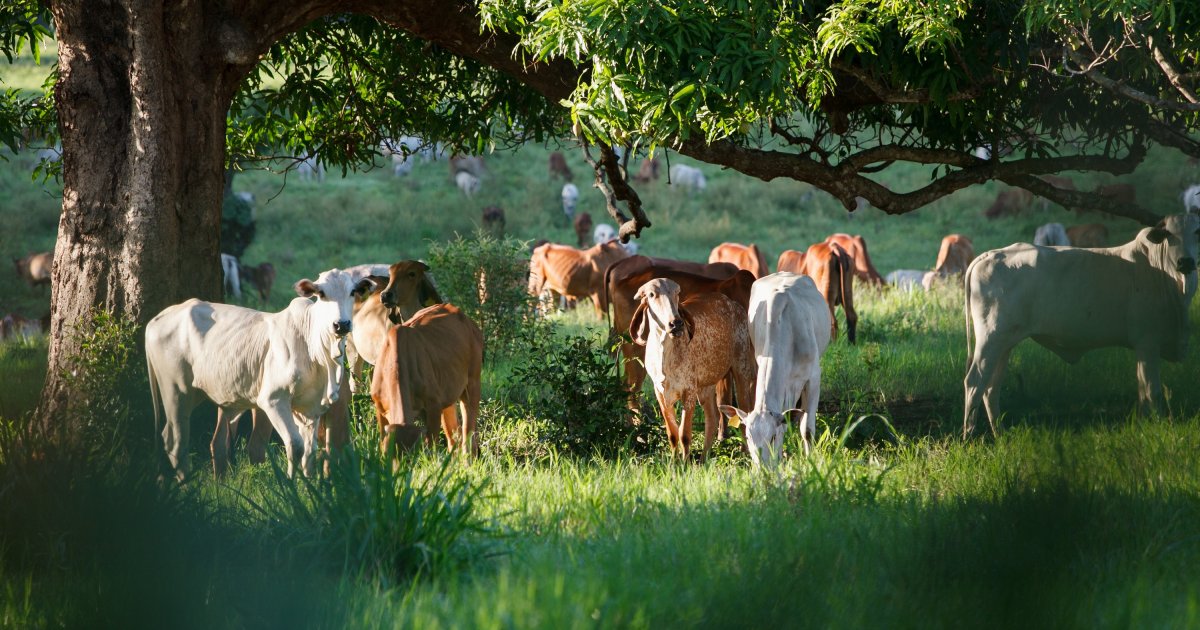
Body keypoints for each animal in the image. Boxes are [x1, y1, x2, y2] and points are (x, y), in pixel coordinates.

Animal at [147, 267, 376, 480]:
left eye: (353, 292)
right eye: (321, 293)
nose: (341, 325)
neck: (316, 349)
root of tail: (158, 319)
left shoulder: (311, 408)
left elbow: (309, 452)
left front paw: (310, 486)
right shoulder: (273, 400)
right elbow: (295, 445)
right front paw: (291, 485)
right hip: (176, 392)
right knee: (175, 442)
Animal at [633, 277, 753, 458]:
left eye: (677, 292)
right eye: (652, 294)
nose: (675, 323)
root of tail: (734, 304)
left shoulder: (688, 391)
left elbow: (684, 435)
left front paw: (685, 462)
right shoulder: (660, 392)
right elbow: (672, 434)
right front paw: (674, 462)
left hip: (741, 367)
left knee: (743, 411)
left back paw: (745, 452)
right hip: (707, 385)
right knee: (712, 417)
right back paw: (704, 458)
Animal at [720, 271, 835, 465]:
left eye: (772, 437)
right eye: (749, 438)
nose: (763, 468)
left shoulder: (813, 378)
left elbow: (807, 430)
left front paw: (809, 460)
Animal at [964, 211, 1200, 436]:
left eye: (1197, 231)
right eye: (1169, 234)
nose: (1186, 262)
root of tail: (989, 255)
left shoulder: (1143, 348)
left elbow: (1143, 391)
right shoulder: (1148, 343)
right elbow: (1152, 391)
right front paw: (1157, 425)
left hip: (1005, 343)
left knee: (991, 387)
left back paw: (999, 433)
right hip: (991, 338)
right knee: (974, 382)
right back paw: (970, 437)